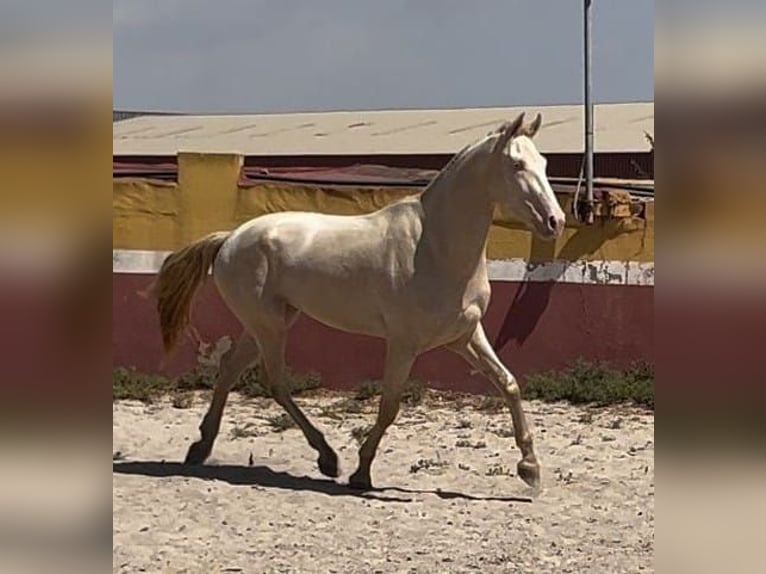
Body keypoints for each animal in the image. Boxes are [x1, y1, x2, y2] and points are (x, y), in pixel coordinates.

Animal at [154, 112, 564, 490]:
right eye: (517, 164)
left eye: (545, 164)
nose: (555, 221)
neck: (435, 247)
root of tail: (230, 238)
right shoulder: (403, 343)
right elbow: (389, 406)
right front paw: (361, 472)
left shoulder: (464, 336)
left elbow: (509, 384)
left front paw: (530, 468)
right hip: (268, 326)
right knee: (275, 382)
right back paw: (327, 458)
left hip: (267, 323)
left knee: (229, 370)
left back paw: (202, 447)